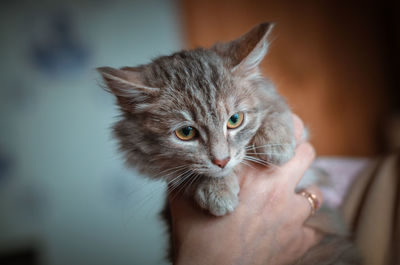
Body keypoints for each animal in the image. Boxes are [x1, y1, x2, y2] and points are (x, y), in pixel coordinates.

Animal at [97, 23, 360, 264]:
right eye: (186, 132)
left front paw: (276, 144)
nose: (222, 160)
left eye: (235, 120)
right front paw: (216, 190)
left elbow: (277, 108)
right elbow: (188, 172)